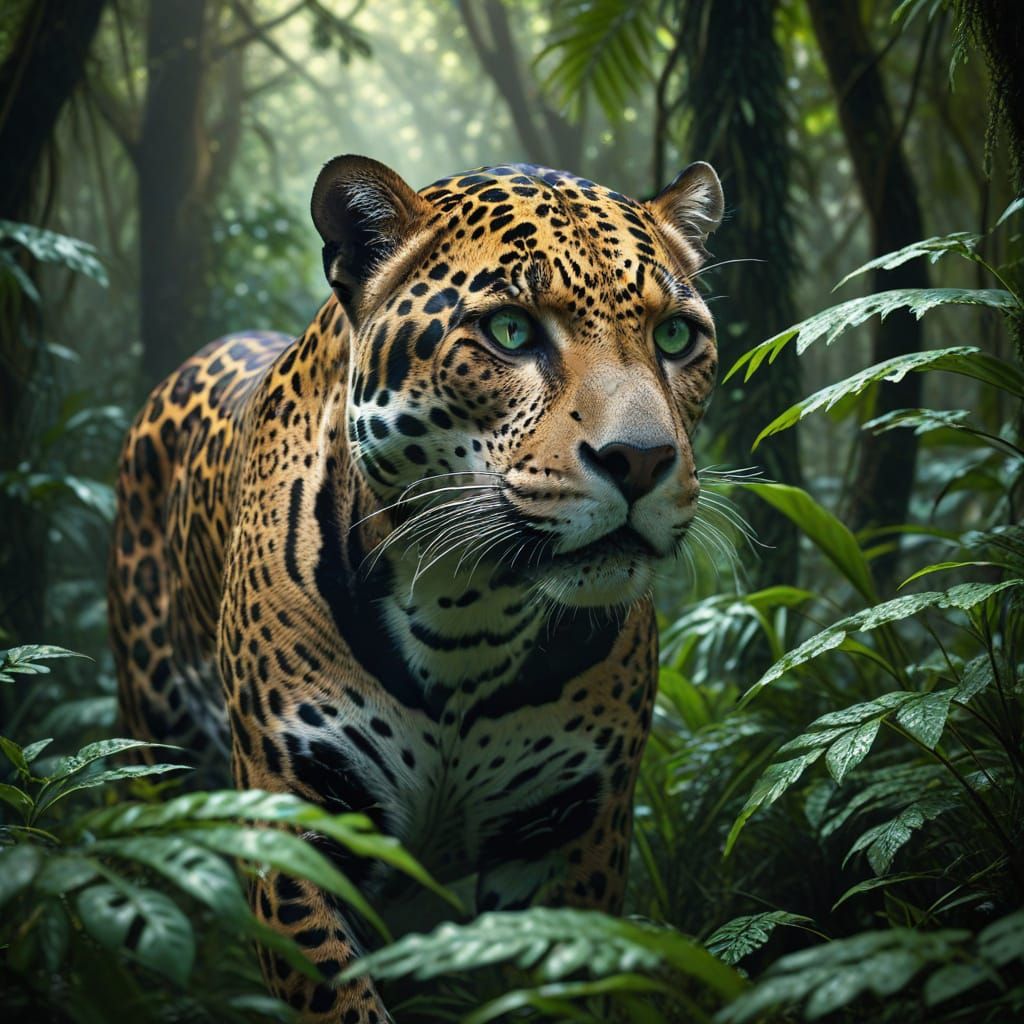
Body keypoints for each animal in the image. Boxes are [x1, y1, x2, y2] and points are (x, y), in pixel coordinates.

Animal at [108, 154, 724, 1022]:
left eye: (675, 336)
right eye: (510, 332)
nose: (640, 460)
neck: (471, 611)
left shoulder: (576, 835)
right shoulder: (294, 820)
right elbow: (340, 999)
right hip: (152, 751)